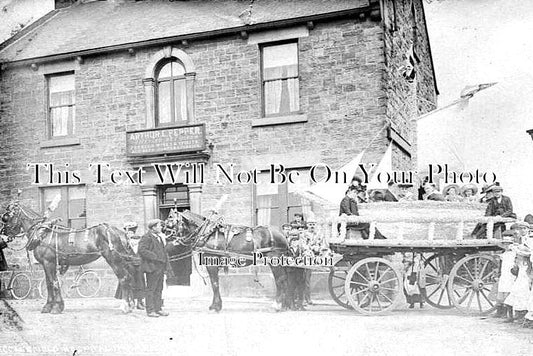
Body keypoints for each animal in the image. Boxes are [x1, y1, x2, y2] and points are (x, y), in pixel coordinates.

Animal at [2, 202, 135, 312]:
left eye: (7, 216)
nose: (3, 232)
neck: (42, 234)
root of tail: (120, 232)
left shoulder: (48, 262)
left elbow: (53, 283)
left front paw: (54, 307)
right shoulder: (49, 264)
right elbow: (50, 283)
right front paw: (53, 306)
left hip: (114, 259)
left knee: (124, 278)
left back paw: (125, 306)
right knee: (129, 278)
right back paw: (131, 305)